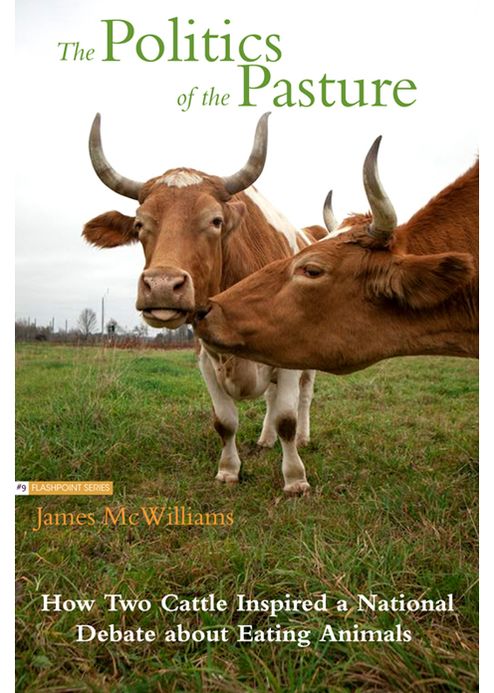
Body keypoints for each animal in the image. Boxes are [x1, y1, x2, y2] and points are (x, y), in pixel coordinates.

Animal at [83, 113, 327, 494]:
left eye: (215, 220)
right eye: (139, 224)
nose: (162, 286)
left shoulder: (288, 355)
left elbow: (287, 416)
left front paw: (295, 478)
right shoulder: (205, 358)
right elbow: (224, 421)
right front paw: (228, 470)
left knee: (302, 396)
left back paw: (301, 438)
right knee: (270, 399)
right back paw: (265, 439)